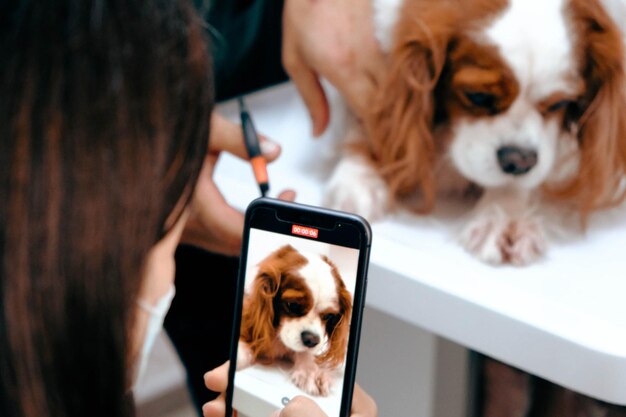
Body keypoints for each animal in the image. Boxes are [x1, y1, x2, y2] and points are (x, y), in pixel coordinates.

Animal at [326, 0, 624, 264]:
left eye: (560, 104)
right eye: (478, 97)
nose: (520, 160)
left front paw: (504, 214)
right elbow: (368, 119)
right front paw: (359, 177)